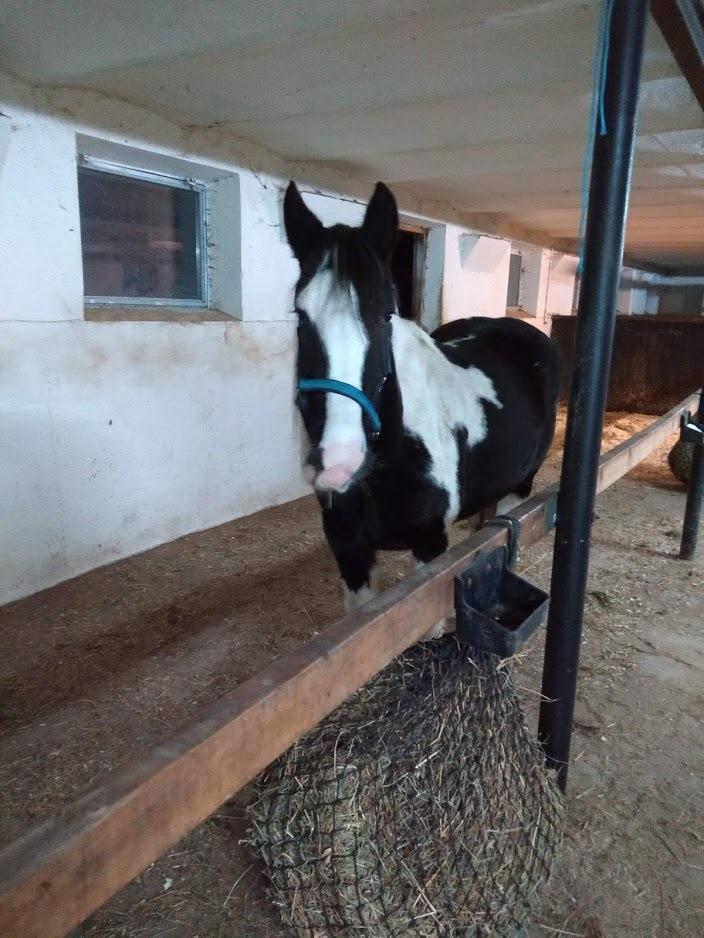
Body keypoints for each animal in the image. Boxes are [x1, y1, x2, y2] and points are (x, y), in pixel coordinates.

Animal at [282, 177, 560, 616]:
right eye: (300, 315)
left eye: (385, 314)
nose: (340, 462)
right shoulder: (351, 553)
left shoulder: (430, 551)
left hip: (521, 488)